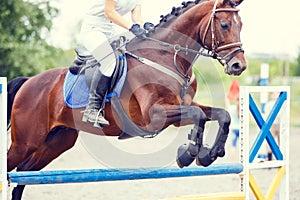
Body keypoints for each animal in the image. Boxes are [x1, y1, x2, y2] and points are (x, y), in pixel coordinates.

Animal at [6, 0, 246, 198]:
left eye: (241, 24)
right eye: (225, 25)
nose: (239, 65)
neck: (166, 56)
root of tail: (29, 82)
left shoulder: (182, 107)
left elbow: (221, 116)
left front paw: (208, 154)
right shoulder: (155, 114)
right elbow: (199, 116)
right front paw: (188, 153)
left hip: (57, 141)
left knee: (23, 173)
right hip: (26, 142)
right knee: (12, 168)